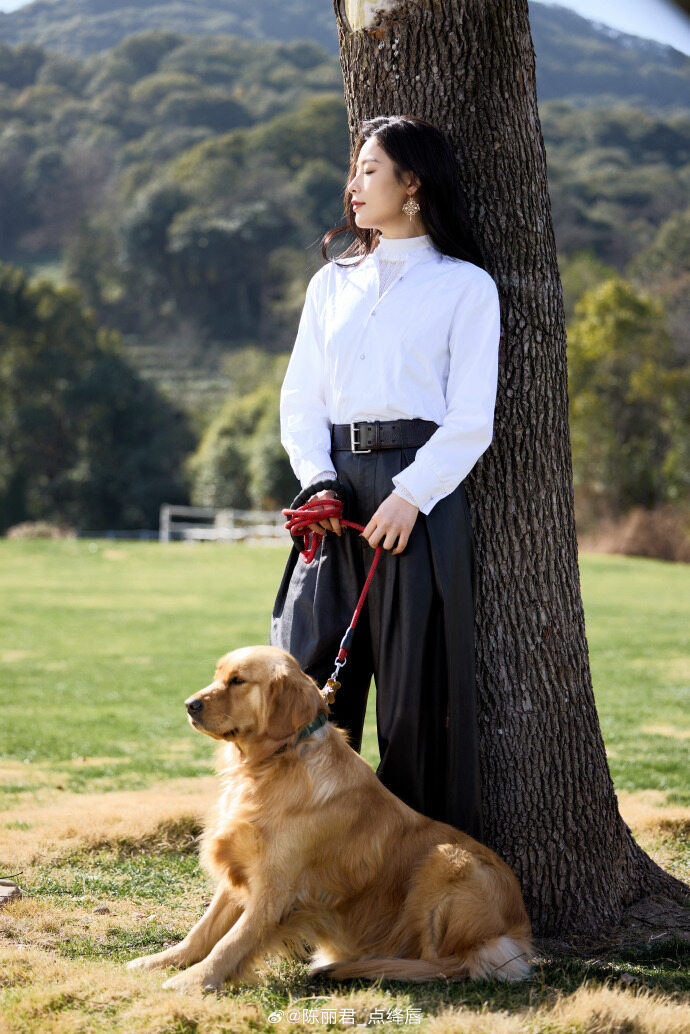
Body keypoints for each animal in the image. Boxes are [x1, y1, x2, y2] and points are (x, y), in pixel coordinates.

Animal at [126, 645, 533, 991]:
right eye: (218, 675)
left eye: (238, 681)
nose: (189, 705)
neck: (273, 764)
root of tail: (520, 931)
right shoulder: (242, 864)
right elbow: (203, 929)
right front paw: (161, 960)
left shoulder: (277, 885)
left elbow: (233, 939)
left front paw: (195, 980)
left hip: (449, 862)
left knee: (451, 964)